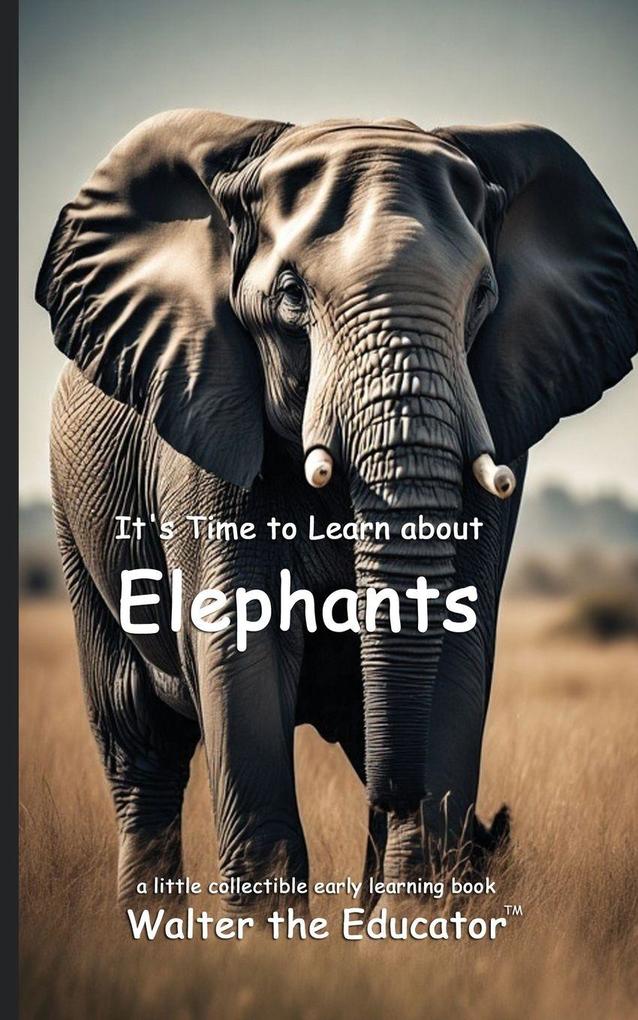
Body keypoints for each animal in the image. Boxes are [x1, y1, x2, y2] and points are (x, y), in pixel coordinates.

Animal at [37, 109, 638, 912]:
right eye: (292, 296)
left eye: (483, 296)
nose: (397, 801)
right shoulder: (204, 422)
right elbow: (240, 649)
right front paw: (268, 934)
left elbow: (457, 647)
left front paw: (412, 916)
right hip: (74, 519)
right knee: (140, 741)